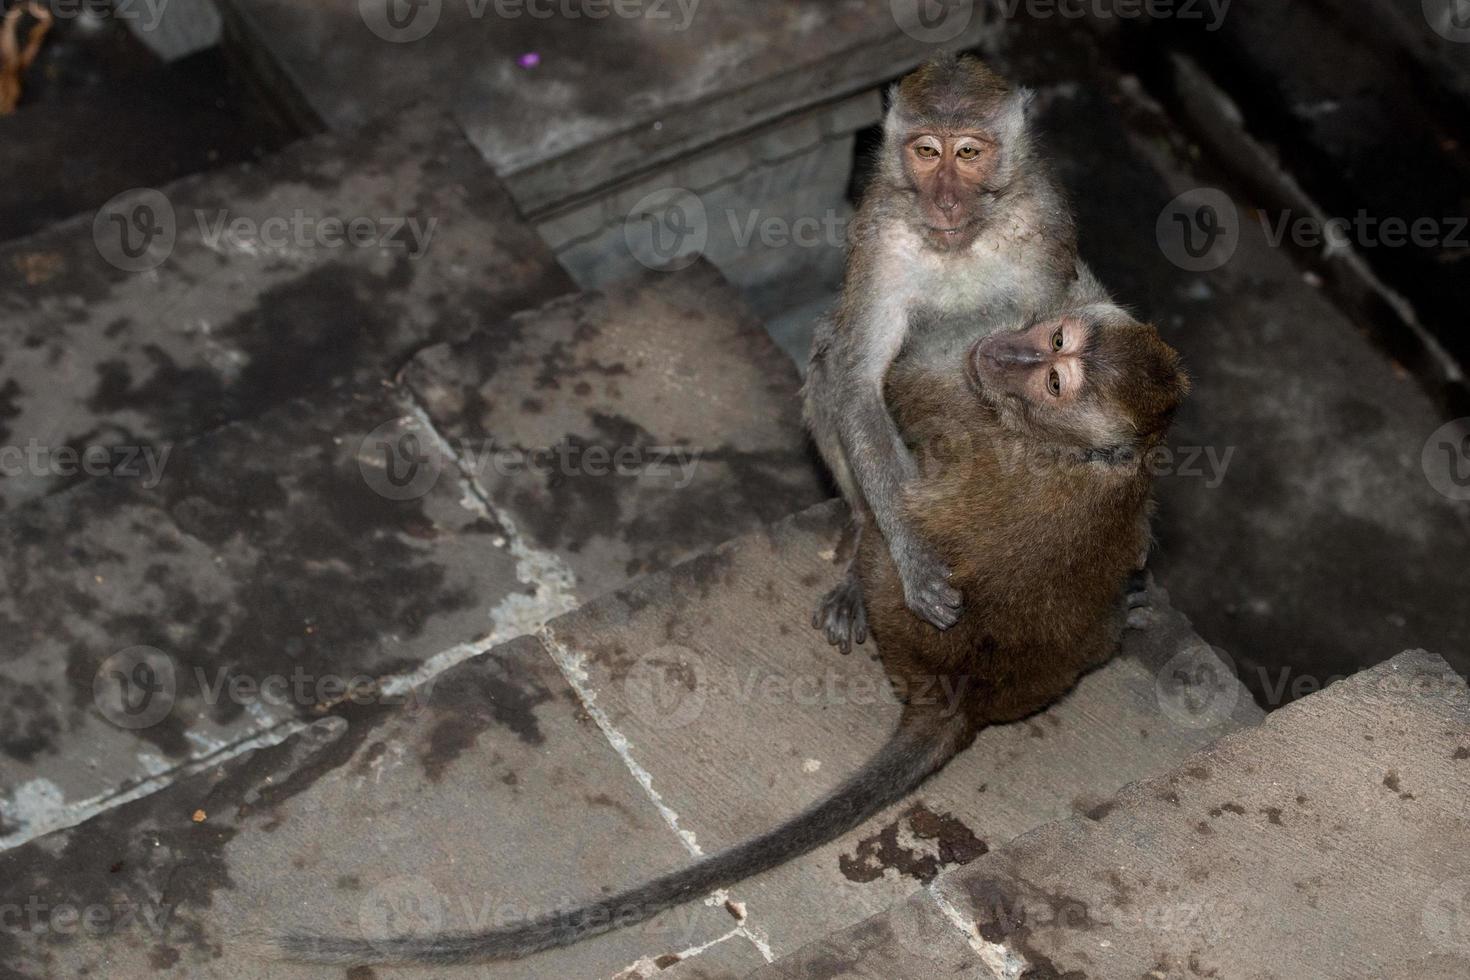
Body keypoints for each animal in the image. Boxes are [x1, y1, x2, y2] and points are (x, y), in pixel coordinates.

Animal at [270, 304, 1187, 963]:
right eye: (1059, 344)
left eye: (1056, 378)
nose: (1014, 354)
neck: (1061, 444)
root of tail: (959, 696)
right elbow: (1131, 528)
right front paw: (1138, 580)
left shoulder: (965, 408)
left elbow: (893, 405)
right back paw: (1123, 617)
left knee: (883, 539)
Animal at [805, 55, 1081, 643]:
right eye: (927, 152)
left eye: (969, 152)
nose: (946, 200)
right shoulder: (879, 232)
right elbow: (856, 378)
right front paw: (916, 558)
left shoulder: (1045, 224)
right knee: (829, 354)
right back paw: (864, 542)